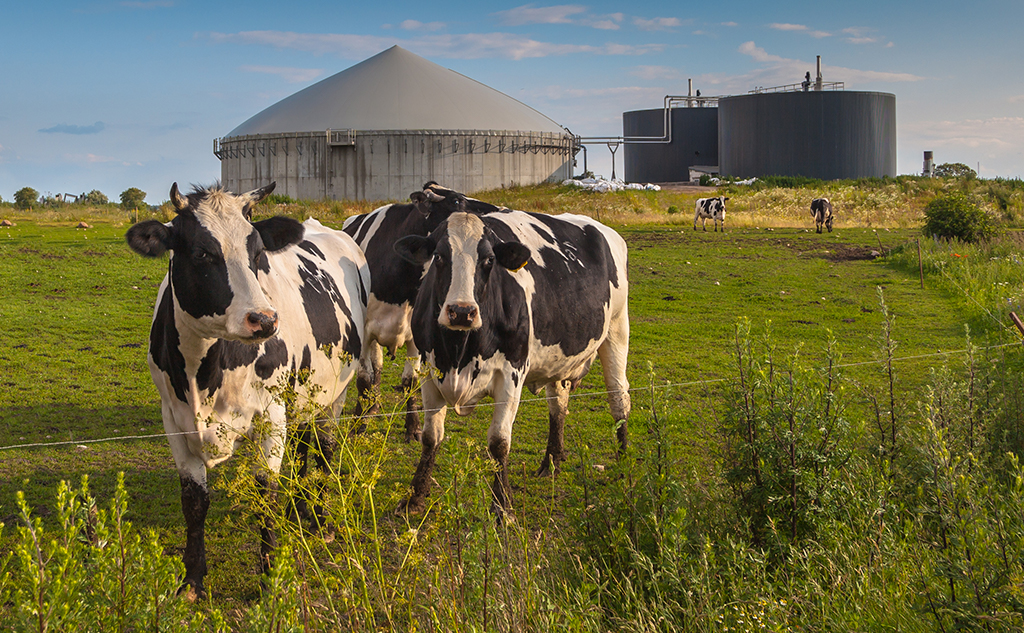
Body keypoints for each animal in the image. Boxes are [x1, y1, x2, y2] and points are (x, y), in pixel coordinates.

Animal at [124, 182, 368, 598]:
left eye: (257, 254)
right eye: (202, 253)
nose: (264, 320)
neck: (204, 374)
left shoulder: (270, 417)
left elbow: (264, 494)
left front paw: (270, 577)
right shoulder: (174, 421)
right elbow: (194, 501)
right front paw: (192, 579)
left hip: (335, 393)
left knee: (324, 448)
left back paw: (319, 518)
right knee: (304, 443)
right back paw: (299, 509)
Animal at [344, 181, 499, 438]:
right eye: (456, 200)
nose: (496, 211)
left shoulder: (416, 334)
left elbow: (411, 381)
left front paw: (413, 426)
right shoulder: (364, 331)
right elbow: (364, 378)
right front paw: (359, 423)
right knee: (374, 368)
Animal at [393, 207, 626, 512]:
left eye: (489, 260)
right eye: (440, 256)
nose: (461, 312)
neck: (459, 353)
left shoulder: (511, 374)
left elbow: (499, 442)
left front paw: (503, 505)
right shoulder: (430, 372)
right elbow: (431, 438)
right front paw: (415, 497)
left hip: (617, 329)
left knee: (619, 398)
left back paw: (625, 464)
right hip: (561, 361)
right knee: (558, 404)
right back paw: (552, 461)